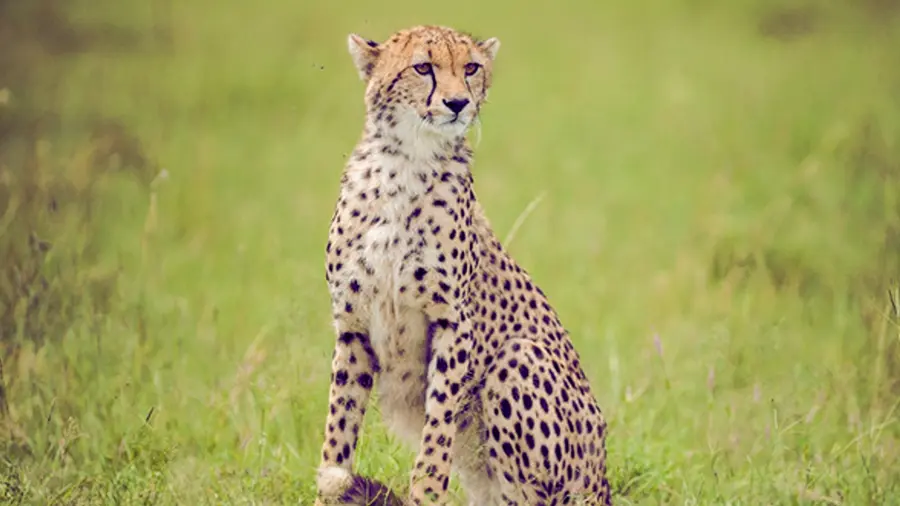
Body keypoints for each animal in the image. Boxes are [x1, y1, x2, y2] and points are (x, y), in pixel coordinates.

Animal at [313, 24, 612, 506]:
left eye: (470, 67)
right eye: (422, 67)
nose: (457, 103)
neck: (405, 164)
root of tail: (601, 485)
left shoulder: (453, 323)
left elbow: (437, 434)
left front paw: (424, 493)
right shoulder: (352, 325)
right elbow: (338, 431)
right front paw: (330, 487)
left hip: (520, 360)